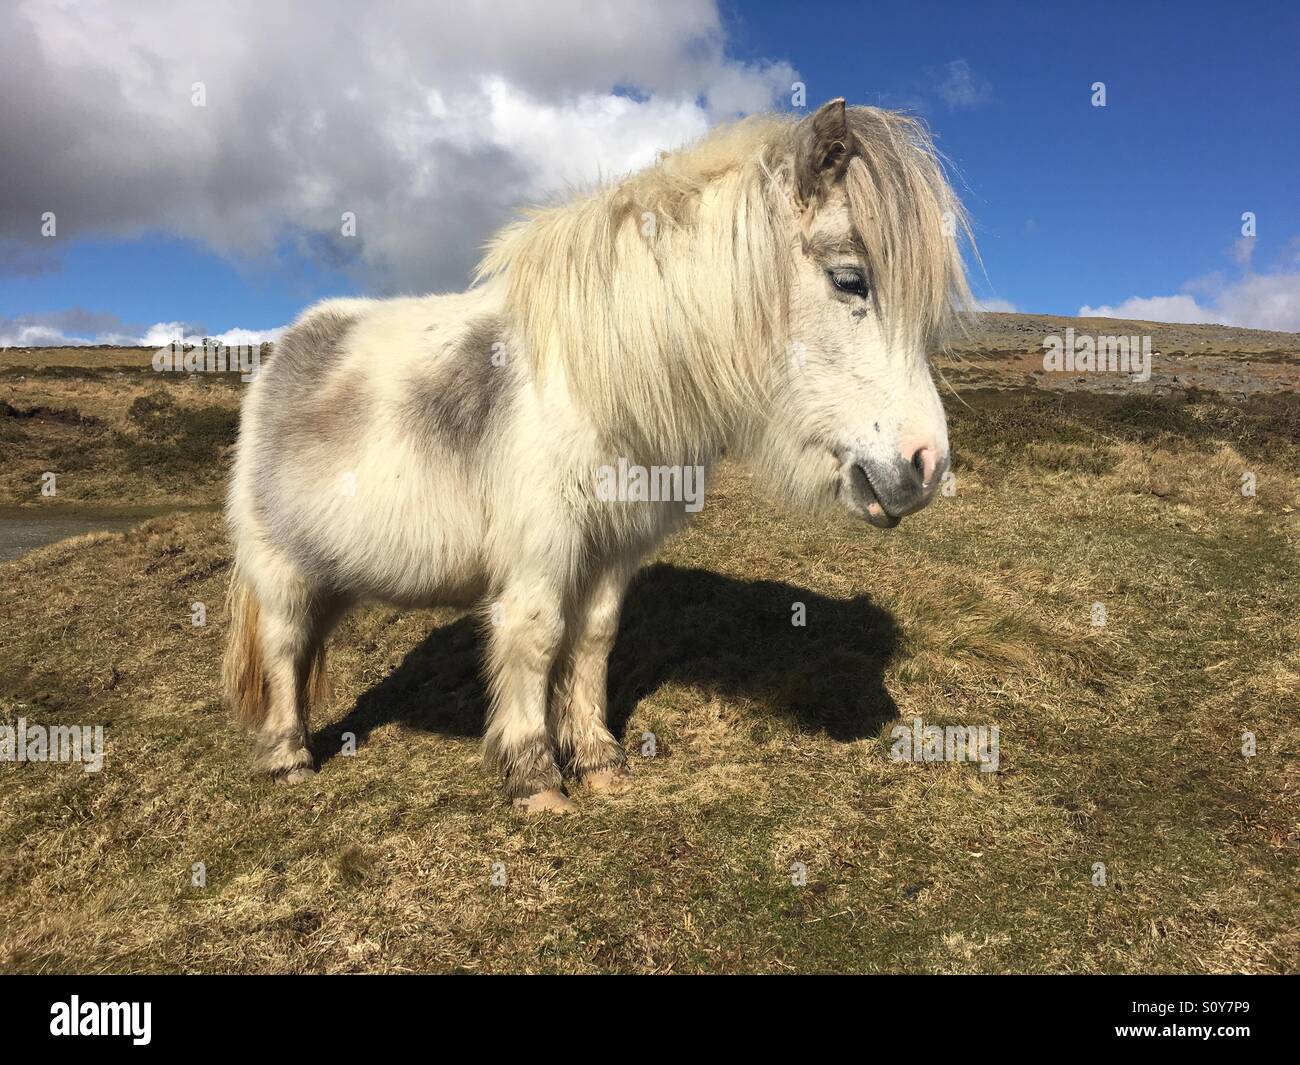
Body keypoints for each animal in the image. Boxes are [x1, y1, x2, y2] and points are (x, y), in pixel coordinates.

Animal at [223, 98, 972, 812]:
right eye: (850, 280)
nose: (927, 466)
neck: (595, 383)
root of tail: (287, 349)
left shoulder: (613, 548)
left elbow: (593, 639)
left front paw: (597, 759)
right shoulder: (542, 549)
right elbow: (536, 637)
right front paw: (534, 775)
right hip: (279, 566)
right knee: (285, 643)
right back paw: (289, 757)